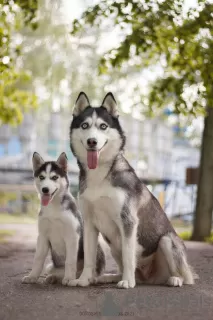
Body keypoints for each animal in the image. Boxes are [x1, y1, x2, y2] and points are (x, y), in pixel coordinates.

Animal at [21, 152, 105, 284]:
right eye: (41, 177)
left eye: (55, 177)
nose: (45, 189)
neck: (54, 207)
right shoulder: (43, 236)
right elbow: (38, 258)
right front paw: (32, 276)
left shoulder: (72, 236)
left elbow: (70, 261)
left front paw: (69, 278)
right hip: (51, 266)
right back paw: (53, 277)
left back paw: (81, 278)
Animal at [69, 92, 197, 290]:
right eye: (85, 125)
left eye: (103, 126)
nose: (92, 141)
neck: (100, 175)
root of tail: (149, 278)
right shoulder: (89, 223)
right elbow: (89, 258)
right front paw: (83, 279)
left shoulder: (128, 220)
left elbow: (129, 256)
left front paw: (128, 281)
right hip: (114, 246)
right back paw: (109, 277)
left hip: (167, 241)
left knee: (185, 275)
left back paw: (174, 279)